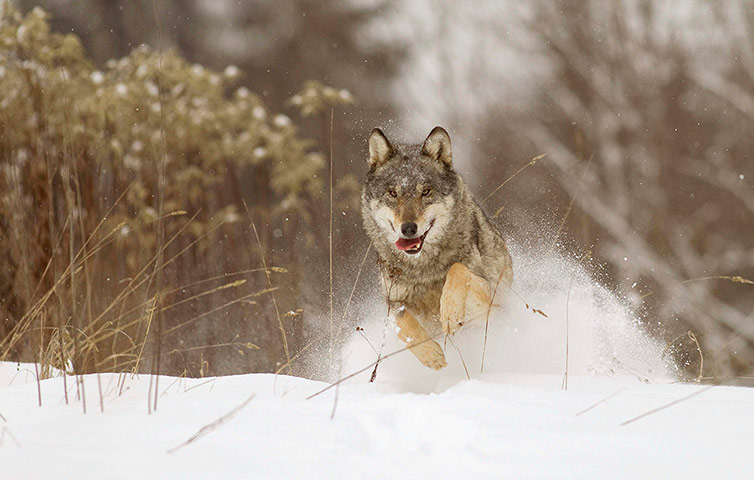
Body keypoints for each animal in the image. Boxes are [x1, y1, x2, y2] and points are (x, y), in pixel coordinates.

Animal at [361, 126, 513, 370]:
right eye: (393, 193)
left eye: (425, 192)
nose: (408, 228)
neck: (424, 270)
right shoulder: (393, 302)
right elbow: (402, 322)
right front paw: (431, 355)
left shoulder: (488, 303)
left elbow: (457, 269)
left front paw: (450, 315)